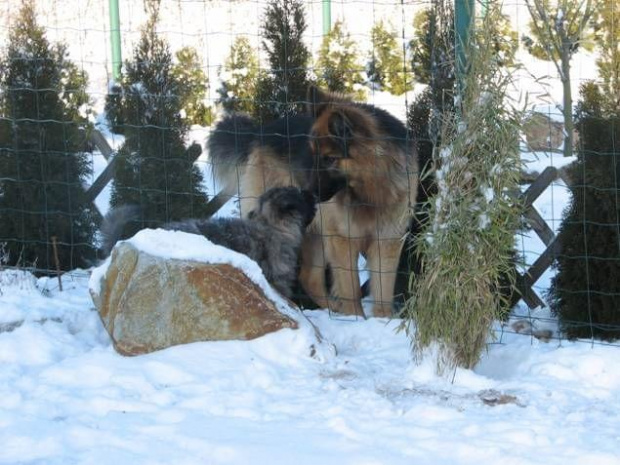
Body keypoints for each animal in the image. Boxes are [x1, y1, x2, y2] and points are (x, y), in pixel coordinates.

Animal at [207, 86, 416, 316]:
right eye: (313, 155)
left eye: (329, 159)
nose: (307, 193)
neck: (370, 192)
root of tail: (260, 133)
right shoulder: (342, 238)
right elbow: (351, 290)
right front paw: (356, 317)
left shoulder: (387, 241)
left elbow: (383, 294)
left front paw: (381, 320)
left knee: (309, 278)